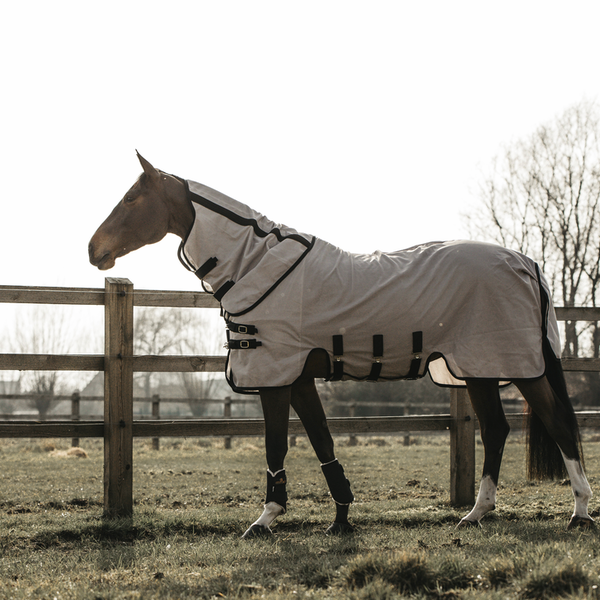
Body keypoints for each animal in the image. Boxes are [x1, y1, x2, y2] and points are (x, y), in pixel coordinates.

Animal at [86, 151, 592, 536]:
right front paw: (342, 517)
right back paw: (480, 513)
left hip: (510, 365)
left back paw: (577, 513)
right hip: (482, 371)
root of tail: (526, 262)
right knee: (505, 430)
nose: (94, 250)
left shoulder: (274, 378)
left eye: (131, 197)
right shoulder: (299, 380)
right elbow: (321, 441)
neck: (256, 263)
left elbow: (276, 445)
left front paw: (265, 520)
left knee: (555, 427)